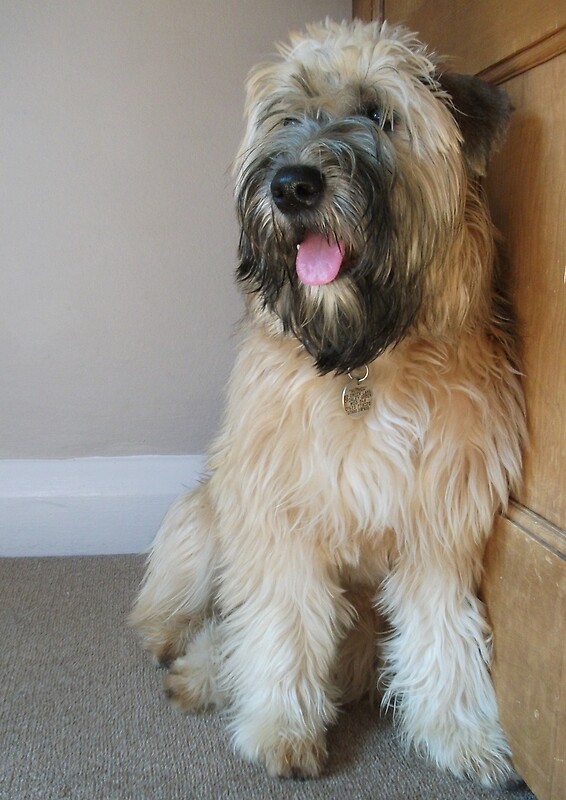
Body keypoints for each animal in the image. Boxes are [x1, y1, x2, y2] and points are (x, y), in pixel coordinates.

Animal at [132, 18, 528, 788]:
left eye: (379, 112)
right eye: (287, 117)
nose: (292, 185)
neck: (362, 361)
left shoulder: (441, 518)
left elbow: (446, 631)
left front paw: (461, 731)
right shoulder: (276, 510)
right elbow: (279, 624)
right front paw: (280, 727)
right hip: (206, 514)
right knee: (191, 616)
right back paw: (193, 661)